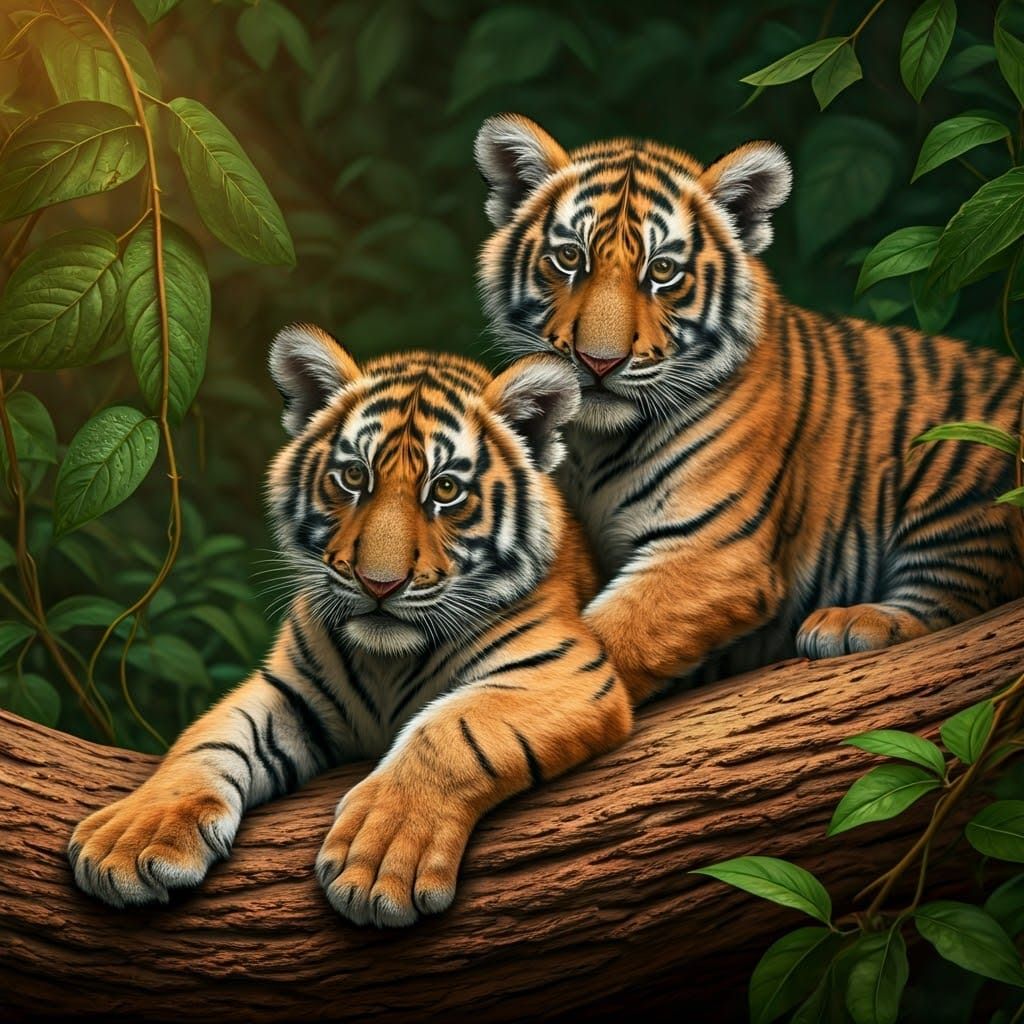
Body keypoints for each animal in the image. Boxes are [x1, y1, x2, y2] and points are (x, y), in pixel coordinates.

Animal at [68, 324, 631, 927]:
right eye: (355, 476)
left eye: (446, 489)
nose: (379, 584)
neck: (386, 661)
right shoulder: (288, 688)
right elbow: (207, 740)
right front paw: (131, 838)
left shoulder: (564, 672)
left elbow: (452, 730)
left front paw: (380, 862)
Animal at [475, 113, 1024, 703]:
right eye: (570, 257)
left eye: (663, 271)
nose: (599, 362)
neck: (589, 443)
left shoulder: (714, 551)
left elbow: (590, 647)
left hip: (957, 458)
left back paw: (852, 622)